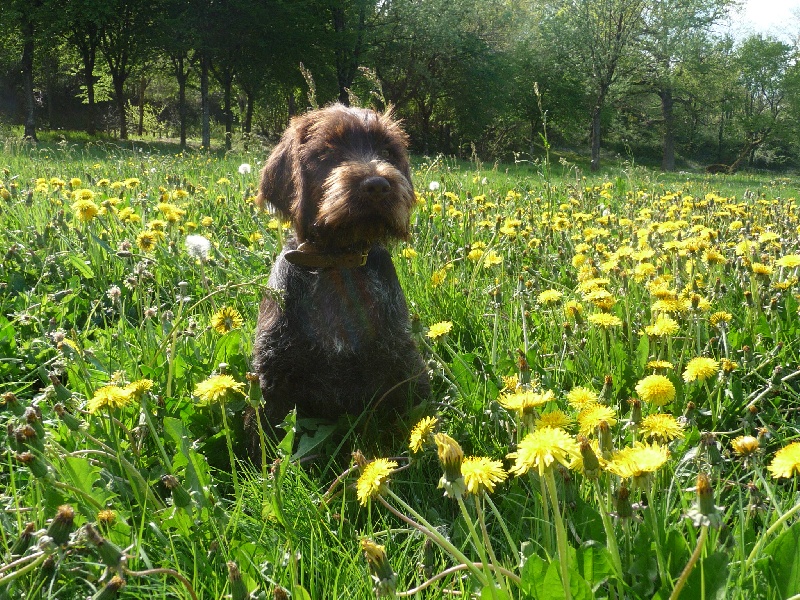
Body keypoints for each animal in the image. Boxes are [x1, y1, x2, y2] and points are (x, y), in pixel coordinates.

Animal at [252, 104, 428, 432]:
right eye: (327, 152)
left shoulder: (402, 362)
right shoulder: (273, 373)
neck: (336, 262)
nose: (378, 186)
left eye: (388, 151)